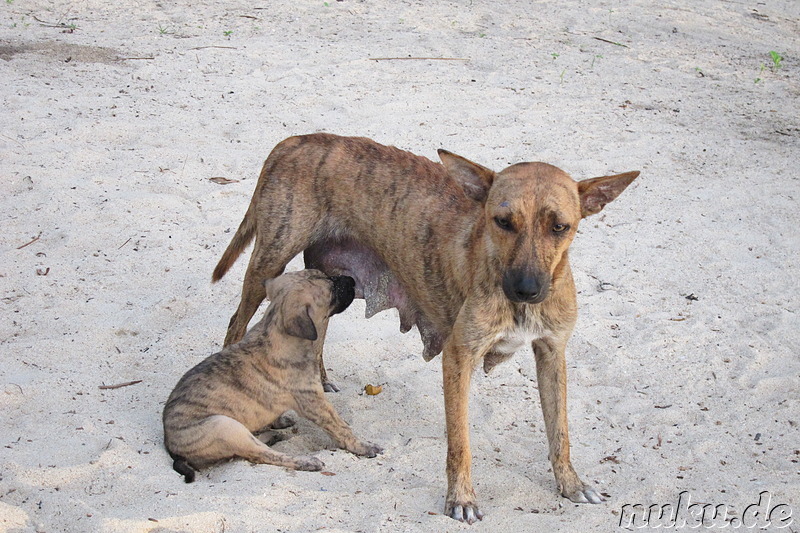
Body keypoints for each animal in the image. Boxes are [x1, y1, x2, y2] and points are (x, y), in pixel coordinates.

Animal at [162, 268, 382, 480]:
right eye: (333, 289)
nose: (351, 280)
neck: (274, 326)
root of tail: (172, 449)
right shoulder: (313, 401)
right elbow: (340, 427)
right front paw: (363, 446)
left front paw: (278, 421)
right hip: (224, 426)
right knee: (262, 455)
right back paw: (305, 461)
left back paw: (272, 435)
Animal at [212, 132, 636, 520]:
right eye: (502, 221)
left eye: (560, 227)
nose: (526, 289)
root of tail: (295, 140)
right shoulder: (459, 357)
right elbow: (460, 441)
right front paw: (461, 499)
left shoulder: (552, 354)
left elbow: (560, 432)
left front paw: (571, 484)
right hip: (270, 261)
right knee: (235, 324)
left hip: (328, 281)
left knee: (315, 336)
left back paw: (321, 378)